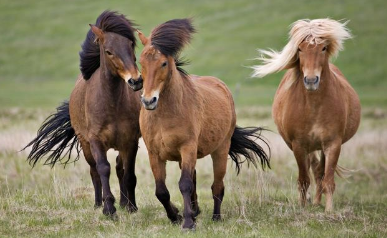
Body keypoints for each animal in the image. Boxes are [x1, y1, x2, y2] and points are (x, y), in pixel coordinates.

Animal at [24, 10, 143, 216]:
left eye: (131, 46)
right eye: (109, 51)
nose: (135, 81)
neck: (112, 105)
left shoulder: (130, 141)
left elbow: (129, 174)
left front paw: (131, 207)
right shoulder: (95, 141)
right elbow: (103, 169)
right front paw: (108, 208)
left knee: (119, 167)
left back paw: (123, 202)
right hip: (85, 144)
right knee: (94, 171)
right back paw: (98, 204)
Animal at [135, 19, 272, 231]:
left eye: (163, 63)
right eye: (141, 62)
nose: (149, 101)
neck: (166, 114)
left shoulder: (188, 148)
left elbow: (184, 184)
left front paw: (187, 222)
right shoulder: (154, 154)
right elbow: (161, 191)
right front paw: (175, 216)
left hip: (220, 150)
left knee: (217, 186)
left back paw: (216, 217)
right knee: (194, 179)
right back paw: (194, 211)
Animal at [253, 18, 362, 212]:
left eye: (323, 48)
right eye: (300, 48)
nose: (311, 80)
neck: (314, 106)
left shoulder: (333, 144)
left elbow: (328, 179)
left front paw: (329, 211)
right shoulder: (299, 145)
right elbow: (303, 180)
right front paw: (302, 207)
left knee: (320, 171)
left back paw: (318, 202)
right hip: (308, 147)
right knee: (315, 169)